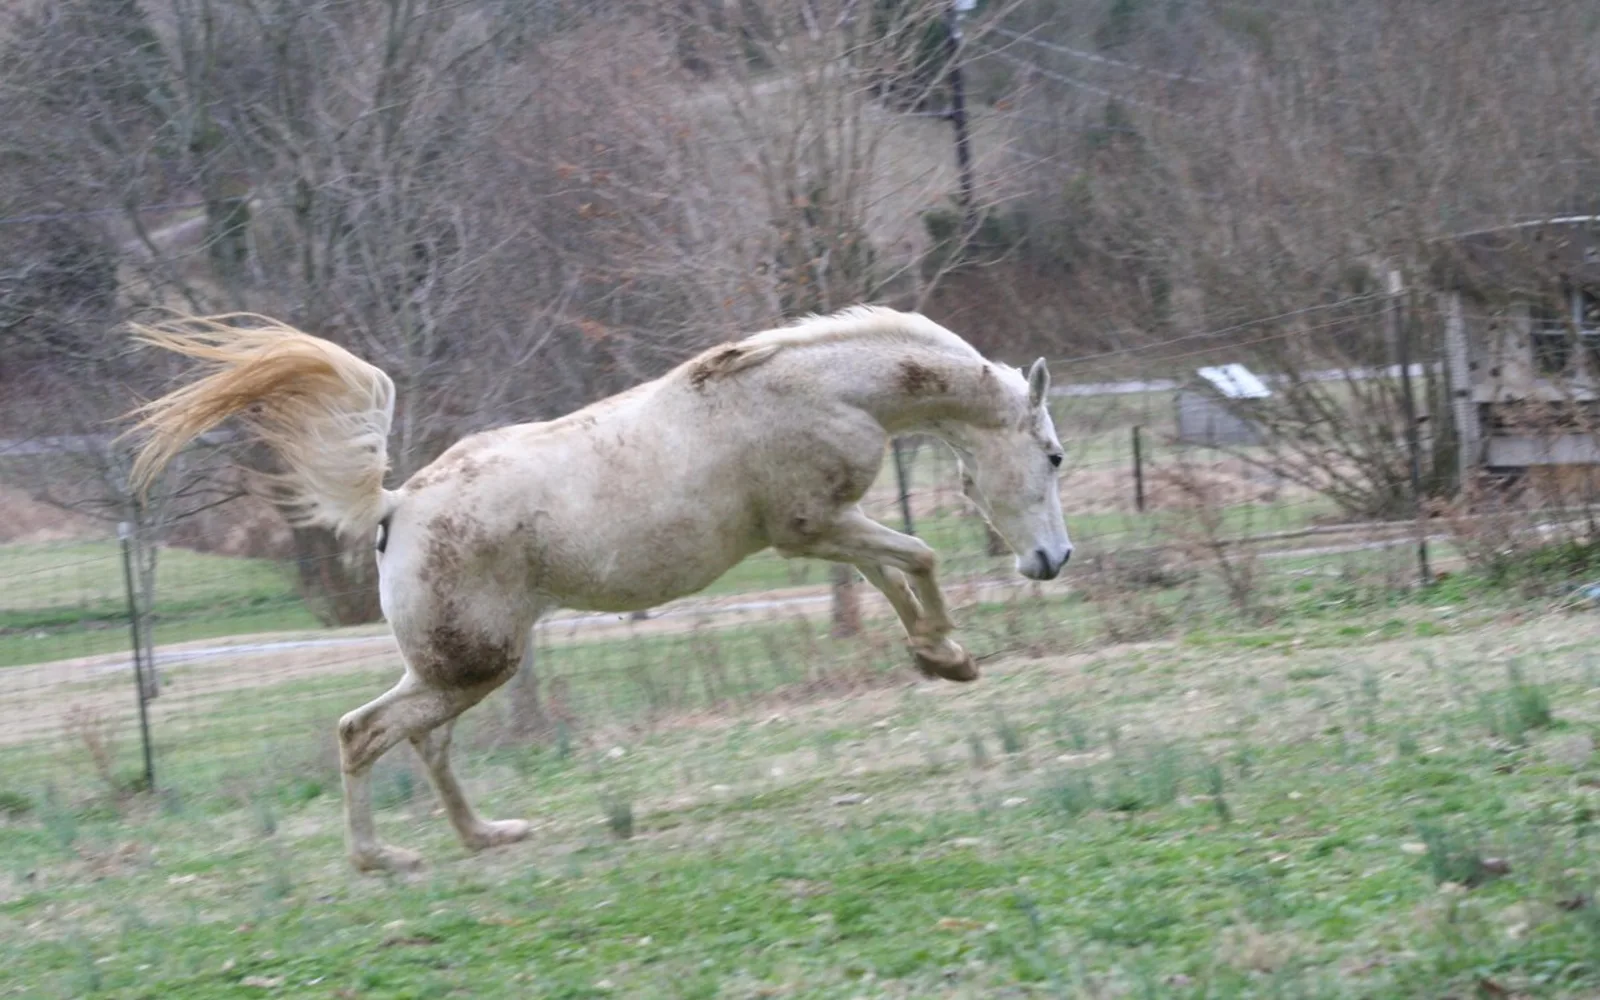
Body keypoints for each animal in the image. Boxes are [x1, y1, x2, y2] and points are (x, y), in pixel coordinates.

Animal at [124, 305, 1072, 873]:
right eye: (1056, 456)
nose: (1054, 559)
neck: (816, 388)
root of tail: (395, 505)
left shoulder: (825, 527)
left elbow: (891, 572)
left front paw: (939, 657)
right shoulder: (810, 527)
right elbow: (918, 557)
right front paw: (951, 656)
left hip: (453, 667)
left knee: (420, 741)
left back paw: (486, 836)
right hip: (472, 664)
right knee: (366, 735)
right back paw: (385, 860)